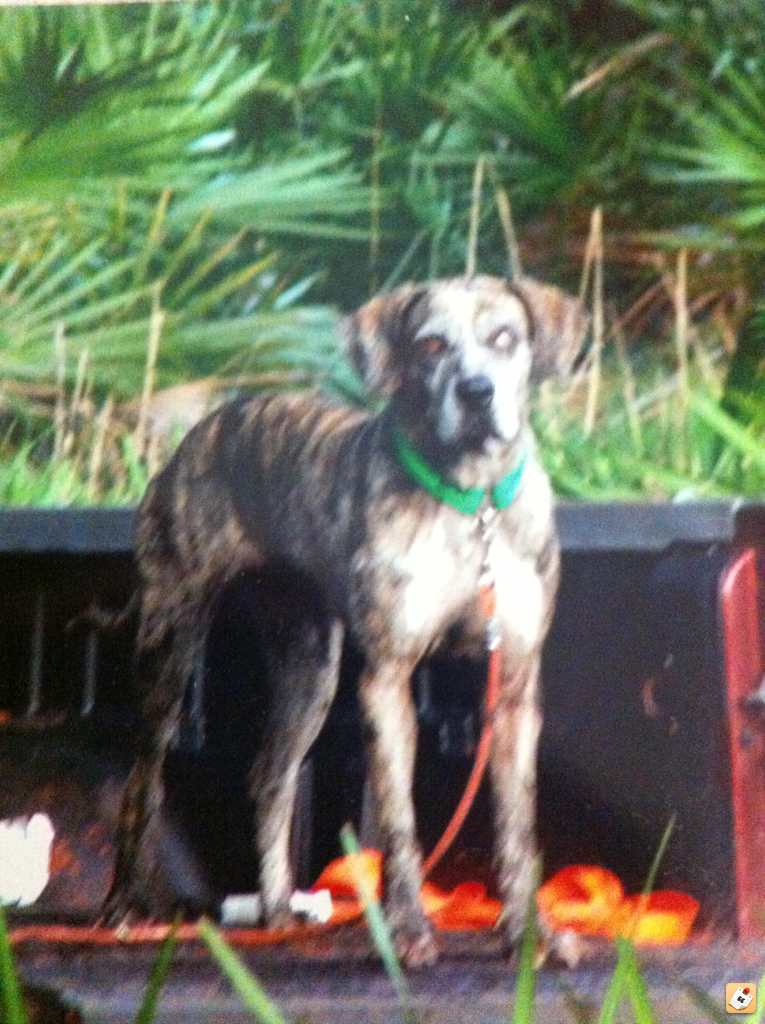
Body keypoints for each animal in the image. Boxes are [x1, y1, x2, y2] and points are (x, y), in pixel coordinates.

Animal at [102, 274, 587, 968]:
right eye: (430, 344)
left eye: (505, 338)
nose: (476, 392)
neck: (473, 506)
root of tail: (208, 428)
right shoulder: (387, 679)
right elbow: (400, 821)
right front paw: (408, 931)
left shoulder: (515, 686)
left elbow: (518, 827)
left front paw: (530, 935)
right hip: (170, 648)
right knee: (145, 780)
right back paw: (124, 905)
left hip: (309, 665)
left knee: (270, 778)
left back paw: (279, 910)